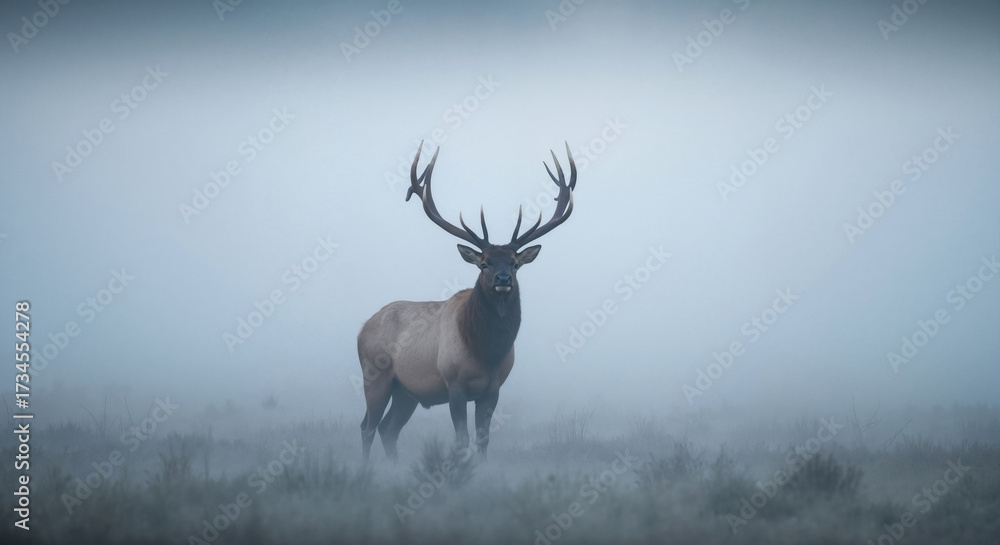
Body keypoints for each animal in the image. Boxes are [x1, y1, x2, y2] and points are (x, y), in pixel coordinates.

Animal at [357, 142, 578, 463]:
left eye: (515, 263)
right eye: (484, 263)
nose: (502, 278)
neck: (487, 351)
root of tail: (362, 328)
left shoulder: (493, 389)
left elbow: (484, 439)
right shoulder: (454, 384)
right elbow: (461, 440)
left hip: (406, 391)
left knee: (388, 429)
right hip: (375, 373)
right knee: (368, 426)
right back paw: (366, 469)